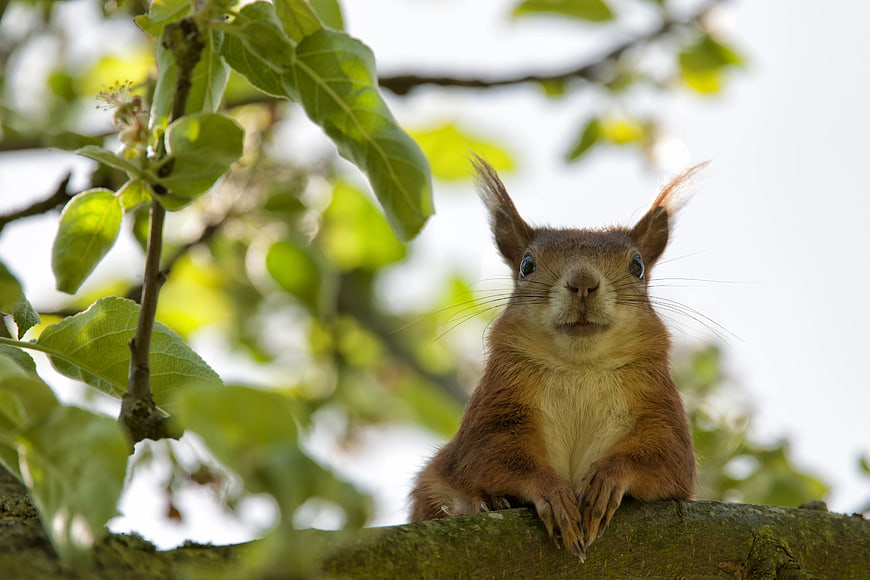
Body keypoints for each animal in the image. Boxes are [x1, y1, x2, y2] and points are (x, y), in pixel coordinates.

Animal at [409, 158, 702, 560]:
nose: (583, 282)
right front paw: (553, 494)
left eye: (637, 266)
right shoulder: (494, 410)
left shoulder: (661, 413)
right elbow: (488, 457)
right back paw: (488, 504)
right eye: (526, 265)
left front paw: (606, 480)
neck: (580, 367)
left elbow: (667, 461)